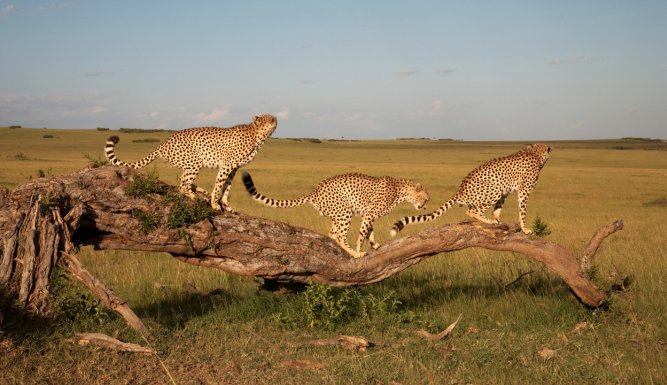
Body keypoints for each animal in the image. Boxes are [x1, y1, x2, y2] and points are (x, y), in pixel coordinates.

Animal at [105, 114, 278, 212]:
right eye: (267, 119)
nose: (275, 121)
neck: (257, 135)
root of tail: (163, 143)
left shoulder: (234, 168)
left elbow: (227, 187)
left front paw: (225, 204)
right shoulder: (226, 165)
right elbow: (219, 185)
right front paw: (215, 204)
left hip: (190, 164)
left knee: (184, 181)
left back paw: (200, 191)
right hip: (195, 161)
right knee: (182, 184)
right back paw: (194, 195)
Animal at [243, 172, 430, 258]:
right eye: (426, 198)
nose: (425, 206)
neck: (401, 190)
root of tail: (315, 191)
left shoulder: (367, 214)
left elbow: (369, 231)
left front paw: (374, 244)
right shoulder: (369, 214)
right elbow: (362, 234)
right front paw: (359, 250)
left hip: (337, 214)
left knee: (332, 233)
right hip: (344, 211)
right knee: (340, 235)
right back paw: (353, 253)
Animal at [388, 142, 552, 236]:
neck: (536, 154)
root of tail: (460, 189)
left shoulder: (505, 192)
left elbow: (498, 209)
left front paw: (498, 220)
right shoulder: (523, 191)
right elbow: (522, 212)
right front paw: (525, 229)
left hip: (497, 190)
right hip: (494, 189)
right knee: (471, 211)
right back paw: (488, 222)